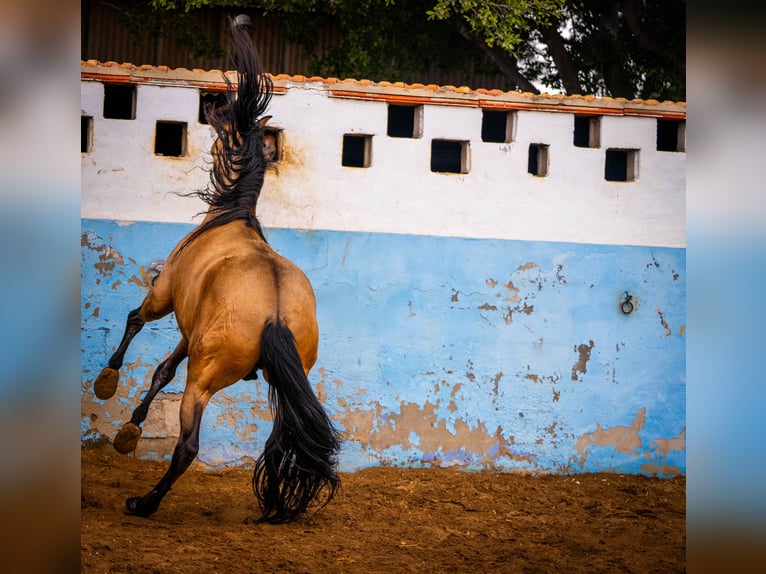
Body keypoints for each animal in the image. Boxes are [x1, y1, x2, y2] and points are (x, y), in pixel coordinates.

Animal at [91, 20, 342, 528]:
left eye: (226, 115)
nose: (207, 100)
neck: (230, 215)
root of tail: (276, 313)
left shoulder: (164, 295)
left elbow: (134, 321)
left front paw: (107, 382)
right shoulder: (190, 332)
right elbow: (161, 372)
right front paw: (131, 428)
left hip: (204, 381)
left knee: (188, 447)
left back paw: (144, 503)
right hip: (278, 384)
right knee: (278, 443)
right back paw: (275, 505)